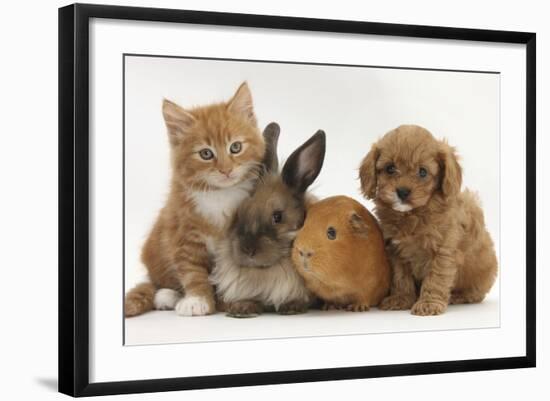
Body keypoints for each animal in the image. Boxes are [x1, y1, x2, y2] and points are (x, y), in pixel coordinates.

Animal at [124, 83, 266, 318]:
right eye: (206, 154)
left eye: (235, 147)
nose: (226, 170)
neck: (220, 194)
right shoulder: (182, 232)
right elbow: (192, 271)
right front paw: (197, 300)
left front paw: (235, 300)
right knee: (157, 282)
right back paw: (167, 296)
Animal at [362, 125, 500, 316]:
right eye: (390, 168)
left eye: (423, 172)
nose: (402, 191)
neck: (413, 215)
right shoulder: (397, 252)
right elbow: (400, 278)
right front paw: (400, 299)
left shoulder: (443, 252)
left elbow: (436, 278)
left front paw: (429, 304)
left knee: (475, 294)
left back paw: (458, 296)